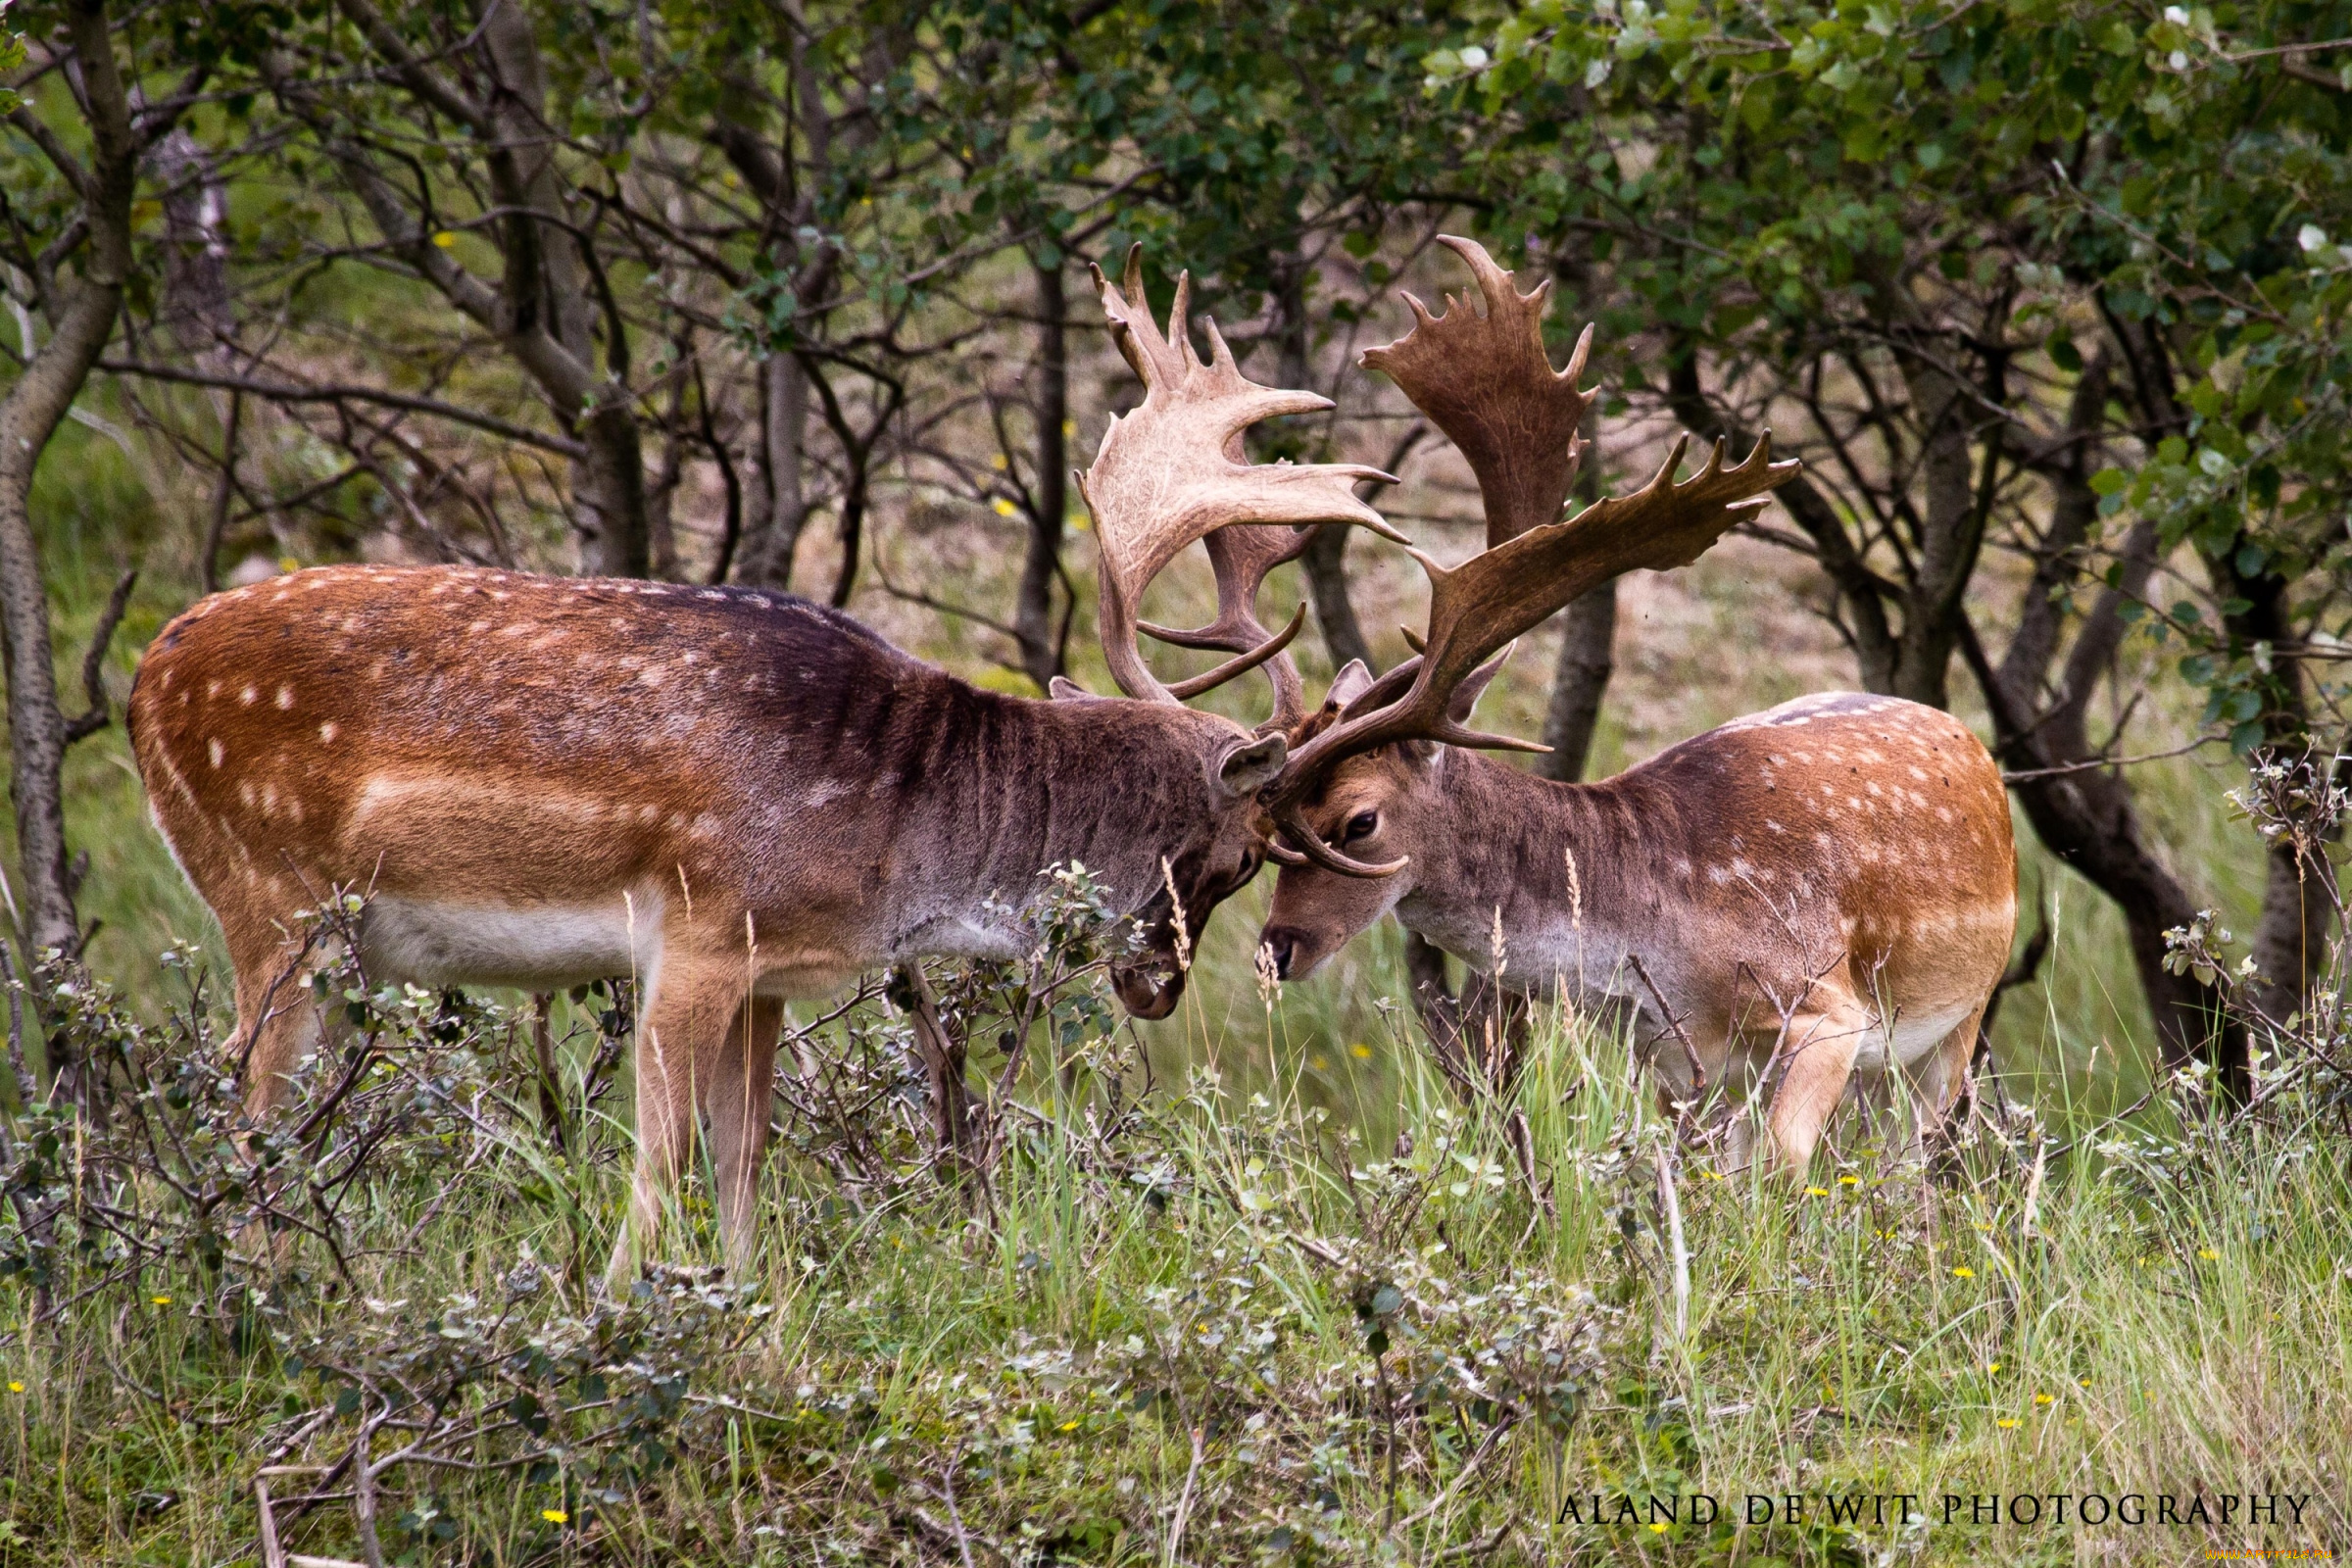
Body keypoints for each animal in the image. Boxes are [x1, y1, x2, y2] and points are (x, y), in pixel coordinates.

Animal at [123, 248, 1411, 1278]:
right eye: (1238, 857)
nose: (1161, 990)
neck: (893, 839)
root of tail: (142, 682)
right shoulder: (693, 930)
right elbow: (659, 1168)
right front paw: (620, 1315)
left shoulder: (768, 971)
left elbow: (746, 1165)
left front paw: (750, 1318)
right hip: (273, 898)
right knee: (235, 1107)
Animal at [1250, 242, 2023, 1175]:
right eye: (1267, 825)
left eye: (1358, 821)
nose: (1275, 948)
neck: (1658, 943)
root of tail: (1971, 742)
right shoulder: (1674, 1059)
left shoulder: (1825, 1007)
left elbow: (1779, 1169)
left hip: (1965, 1011)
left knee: (1917, 1157)